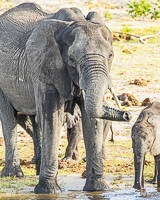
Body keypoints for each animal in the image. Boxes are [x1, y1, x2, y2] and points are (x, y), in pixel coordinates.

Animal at [0, 2, 131, 194]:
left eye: (110, 56)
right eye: (71, 59)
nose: (128, 114)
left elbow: (91, 118)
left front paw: (97, 189)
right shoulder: (45, 67)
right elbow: (53, 116)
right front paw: (48, 191)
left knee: (35, 119)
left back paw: (37, 168)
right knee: (9, 116)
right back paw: (13, 174)